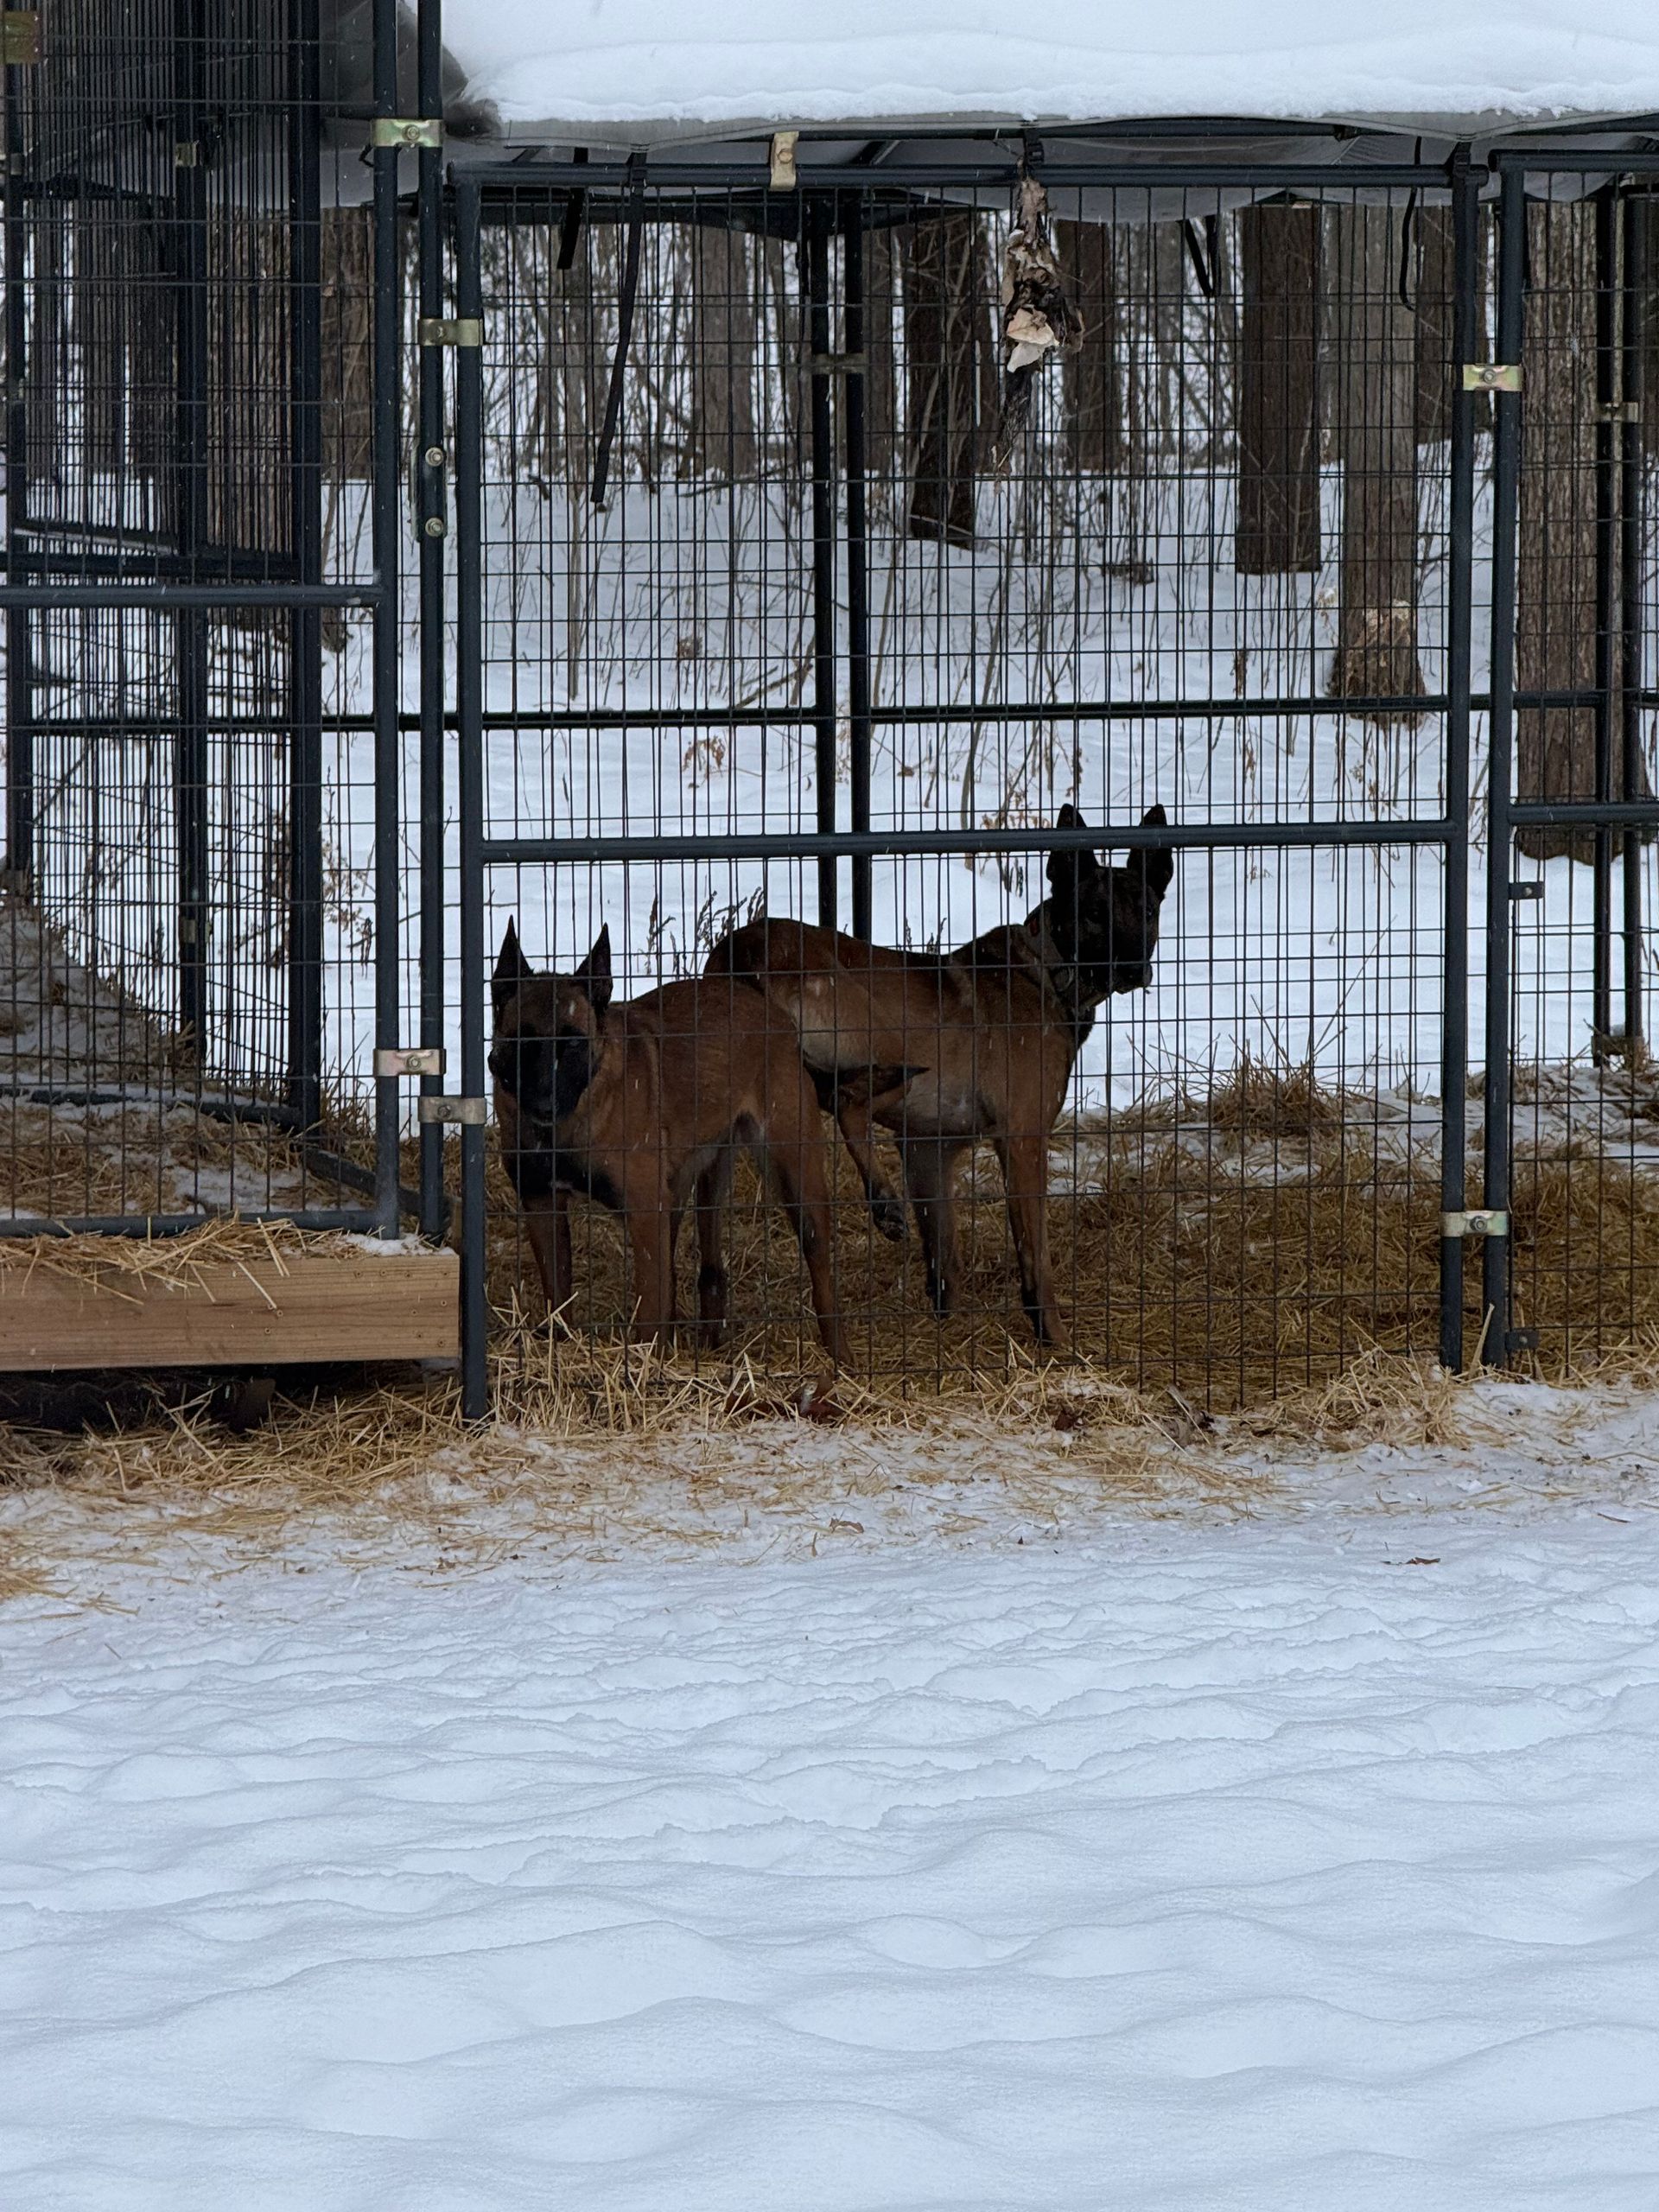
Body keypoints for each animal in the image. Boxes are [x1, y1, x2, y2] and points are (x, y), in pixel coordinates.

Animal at [490, 921, 845, 1362]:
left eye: (573, 1043)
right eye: (521, 1042)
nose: (543, 1102)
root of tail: (764, 1005)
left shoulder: (645, 1214)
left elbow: (649, 1314)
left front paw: (645, 1367)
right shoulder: (543, 1205)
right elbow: (559, 1300)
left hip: (795, 1179)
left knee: (820, 1268)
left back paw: (840, 1356)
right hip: (692, 1188)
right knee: (706, 1270)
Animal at [705, 805, 1174, 1352]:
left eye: (1148, 912)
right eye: (1095, 914)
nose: (1133, 968)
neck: (1048, 966)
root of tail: (741, 953)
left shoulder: (929, 1152)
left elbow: (944, 1260)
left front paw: (945, 1331)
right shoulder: (1022, 1140)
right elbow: (1035, 1257)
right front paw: (1053, 1336)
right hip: (885, 1035)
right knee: (847, 1100)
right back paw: (883, 1202)